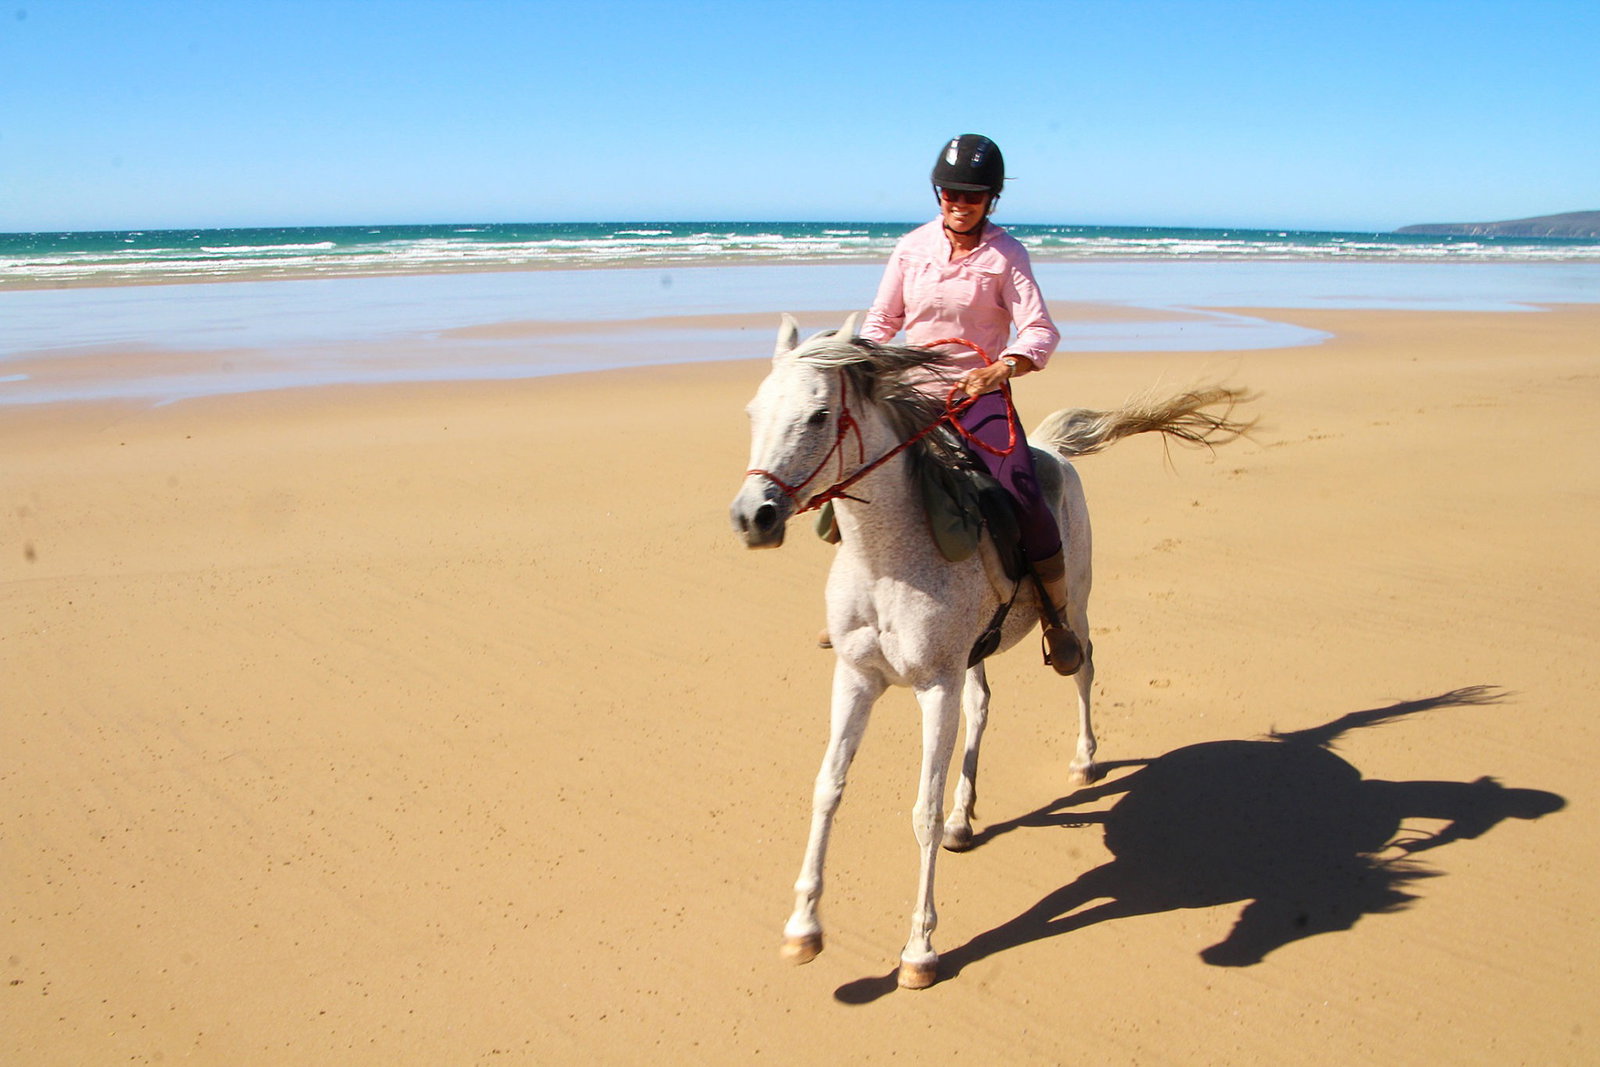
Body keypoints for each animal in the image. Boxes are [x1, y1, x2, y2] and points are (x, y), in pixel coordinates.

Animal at [729, 315, 1251, 989]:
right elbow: (828, 789)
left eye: (819, 416)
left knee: (1083, 668)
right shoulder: (857, 678)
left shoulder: (934, 688)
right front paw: (803, 928)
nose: (753, 517)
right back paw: (964, 818)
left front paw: (919, 949)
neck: (886, 560)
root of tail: (1053, 450)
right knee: (982, 708)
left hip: (1075, 606)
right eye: (753, 411)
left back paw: (1083, 760)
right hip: (974, 655)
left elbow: (921, 810)